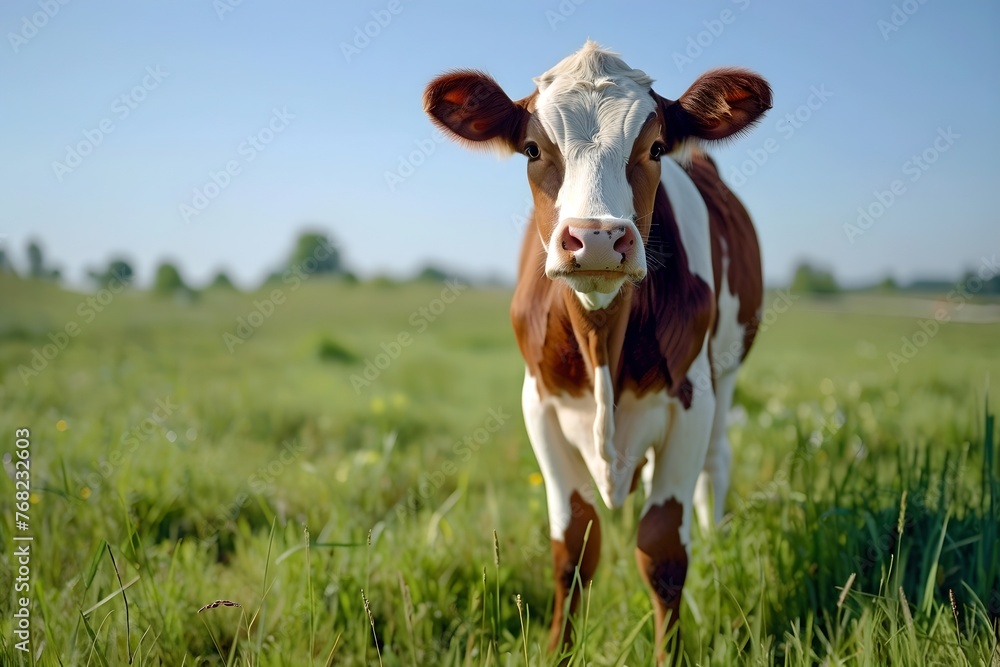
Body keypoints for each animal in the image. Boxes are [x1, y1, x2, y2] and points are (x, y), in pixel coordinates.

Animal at [424, 41, 772, 664]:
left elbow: (663, 550)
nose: (597, 239)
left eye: (654, 147)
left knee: (716, 465)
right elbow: (574, 546)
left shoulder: (692, 400)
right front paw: (557, 648)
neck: (601, 335)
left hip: (729, 367)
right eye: (533, 149)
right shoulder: (539, 404)